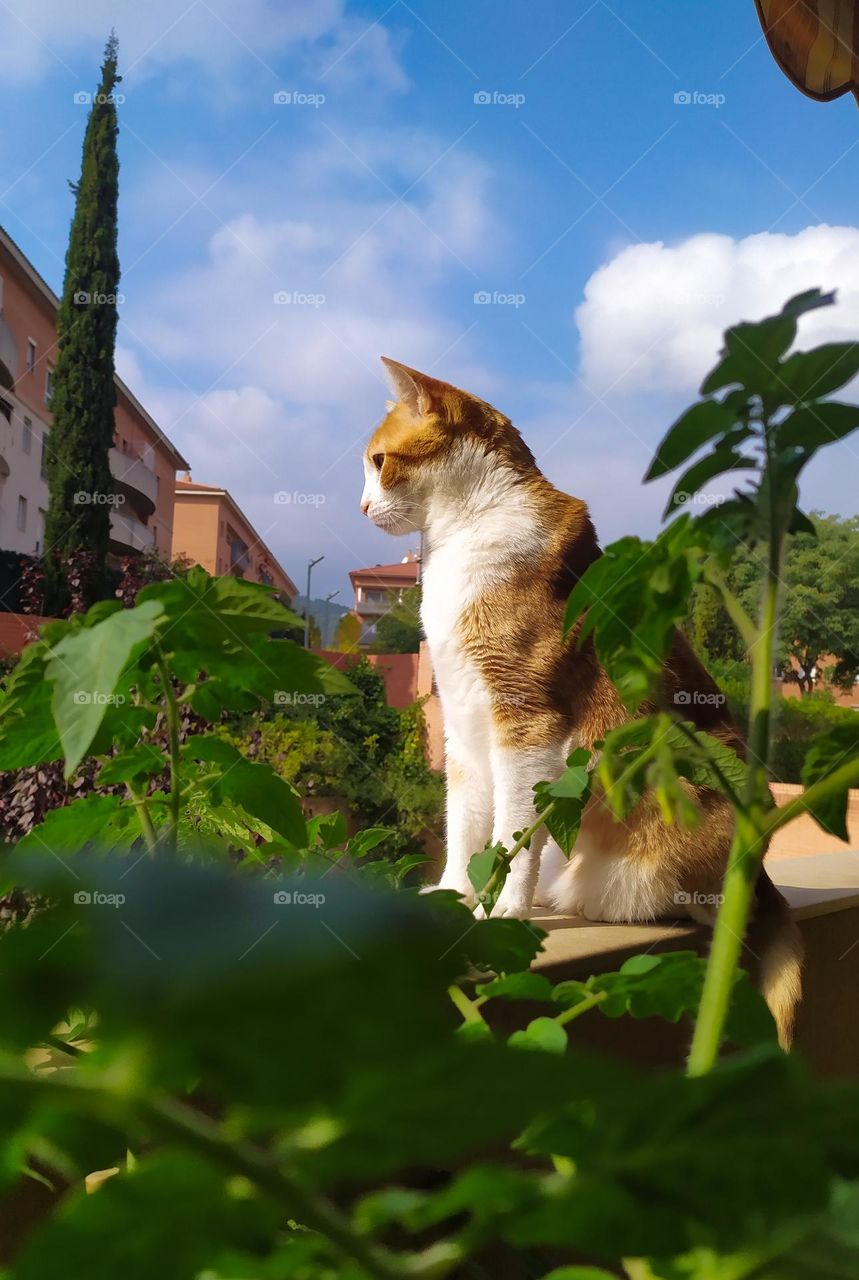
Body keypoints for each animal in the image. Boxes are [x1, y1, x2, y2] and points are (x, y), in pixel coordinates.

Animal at [358, 355, 803, 1044]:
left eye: (378, 461)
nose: (361, 505)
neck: (462, 537)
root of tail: (758, 873)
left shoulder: (527, 724)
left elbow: (513, 831)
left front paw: (503, 908)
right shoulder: (462, 726)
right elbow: (465, 824)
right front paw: (456, 893)